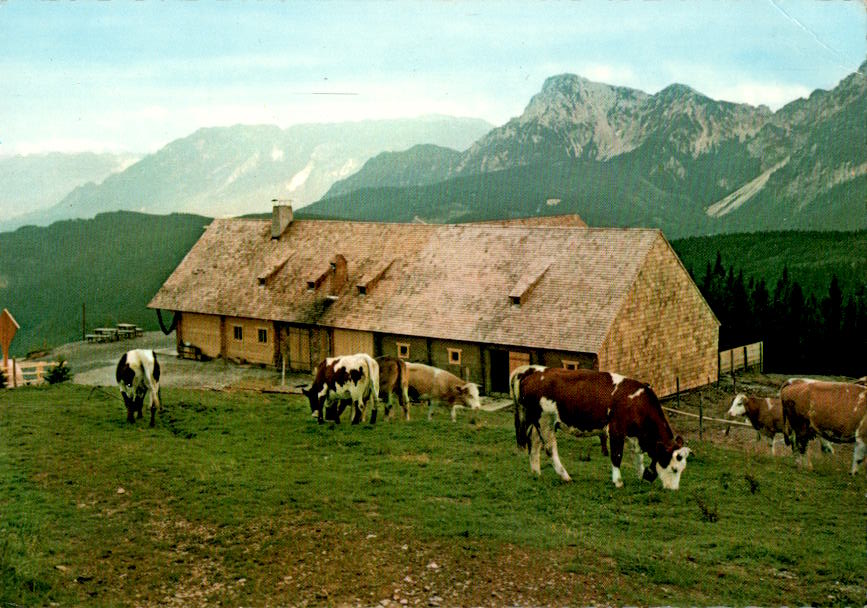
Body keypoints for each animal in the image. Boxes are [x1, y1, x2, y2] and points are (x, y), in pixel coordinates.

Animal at [508, 366, 692, 490]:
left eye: (682, 469)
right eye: (674, 469)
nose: (673, 490)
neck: (635, 401)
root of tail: (534, 372)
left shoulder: (634, 436)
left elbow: (638, 458)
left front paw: (640, 476)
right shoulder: (616, 430)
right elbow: (617, 456)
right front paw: (618, 482)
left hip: (540, 422)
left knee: (534, 445)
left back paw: (536, 473)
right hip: (545, 420)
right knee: (550, 449)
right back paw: (565, 476)